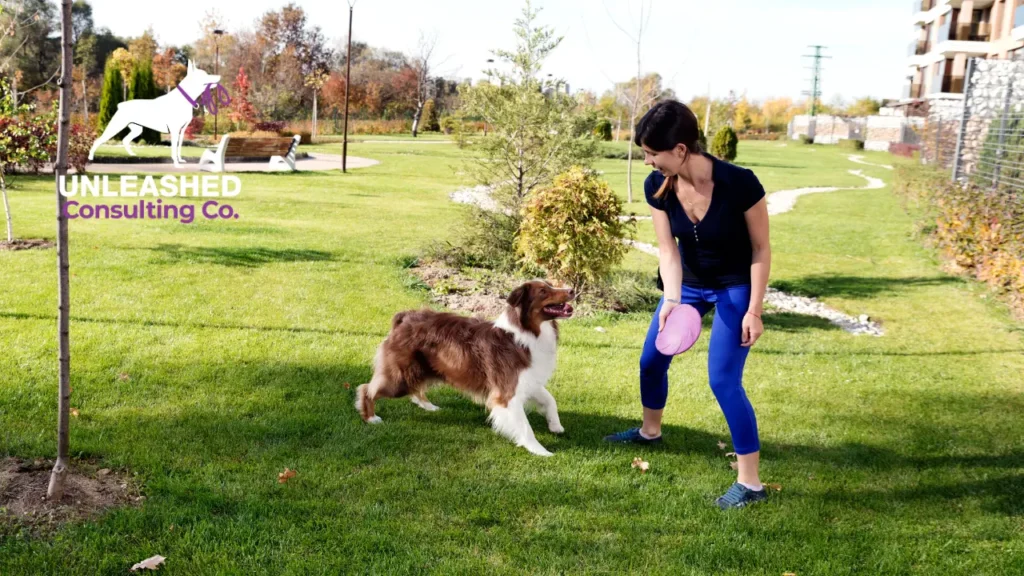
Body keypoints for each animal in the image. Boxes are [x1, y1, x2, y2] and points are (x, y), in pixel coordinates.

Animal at [356, 280, 573, 455]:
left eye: (551, 284)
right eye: (543, 291)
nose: (572, 290)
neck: (527, 333)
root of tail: (404, 318)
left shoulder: (528, 381)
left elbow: (550, 400)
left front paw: (556, 426)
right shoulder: (507, 392)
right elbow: (525, 427)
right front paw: (540, 451)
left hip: (420, 370)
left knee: (415, 389)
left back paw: (428, 406)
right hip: (400, 377)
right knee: (367, 388)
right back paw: (371, 417)